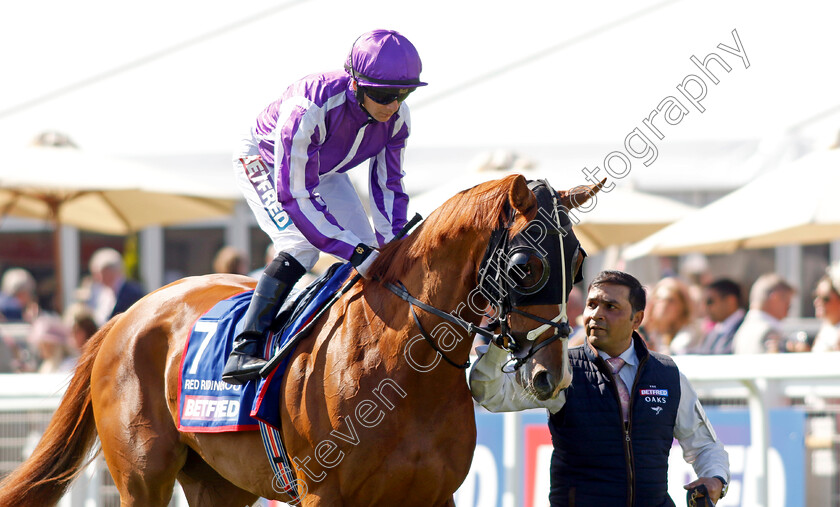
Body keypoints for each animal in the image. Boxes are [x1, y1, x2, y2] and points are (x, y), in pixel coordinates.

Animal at [1, 173, 604, 506]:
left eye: (579, 263)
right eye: (525, 265)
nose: (551, 375)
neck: (403, 371)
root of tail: (127, 314)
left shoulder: (433, 494)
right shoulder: (322, 493)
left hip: (221, 483)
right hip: (141, 476)